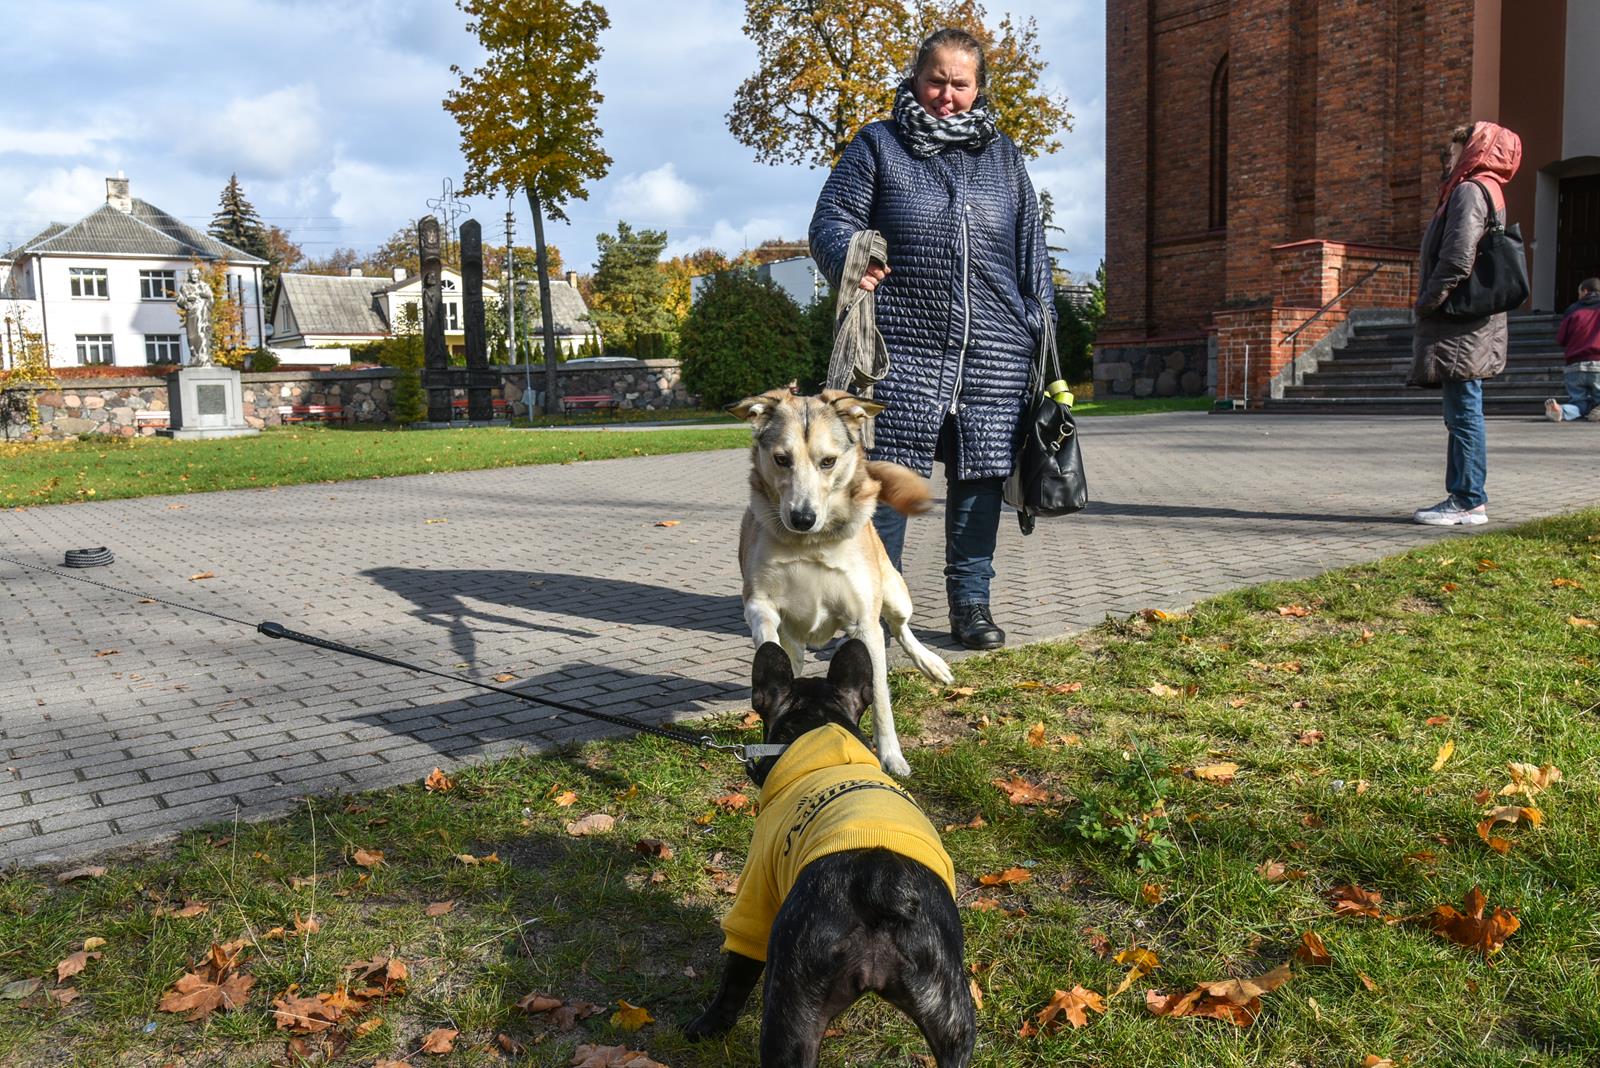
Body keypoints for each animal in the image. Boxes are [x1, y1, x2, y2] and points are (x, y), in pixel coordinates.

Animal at [684, 640, 975, 1067]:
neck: (820, 729)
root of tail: (878, 881)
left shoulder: (756, 896)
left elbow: (736, 975)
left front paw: (708, 1024)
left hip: (791, 1011)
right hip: (951, 1009)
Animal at [729, 388, 954, 777]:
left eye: (828, 461)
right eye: (781, 459)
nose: (802, 517)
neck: (811, 544)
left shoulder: (865, 623)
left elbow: (879, 696)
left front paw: (891, 756)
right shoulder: (759, 603)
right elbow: (768, 639)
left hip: (895, 593)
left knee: (900, 628)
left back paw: (931, 664)